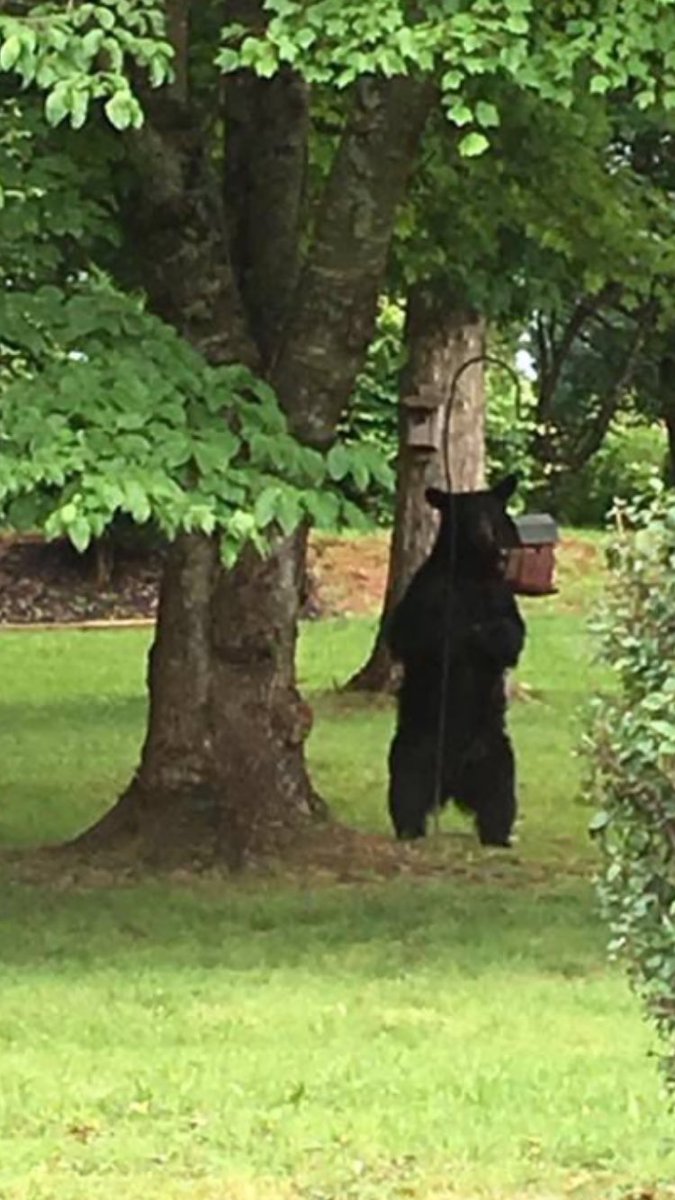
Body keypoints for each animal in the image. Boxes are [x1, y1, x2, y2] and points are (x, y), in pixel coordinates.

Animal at [386, 474, 526, 847]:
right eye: (467, 515)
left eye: (492, 512)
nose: (490, 540)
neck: (471, 572)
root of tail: (452, 783)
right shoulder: (426, 593)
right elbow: (410, 635)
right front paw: (458, 633)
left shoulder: (500, 596)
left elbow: (513, 635)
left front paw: (486, 634)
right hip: (418, 747)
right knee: (406, 787)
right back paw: (411, 830)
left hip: (495, 752)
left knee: (500, 795)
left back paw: (498, 836)